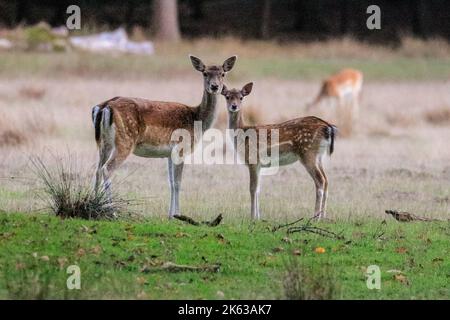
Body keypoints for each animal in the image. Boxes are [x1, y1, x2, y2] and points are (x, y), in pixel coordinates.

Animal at [92, 55, 237, 218]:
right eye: (205, 73)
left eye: (223, 74)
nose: (214, 86)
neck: (197, 119)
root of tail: (105, 107)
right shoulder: (181, 147)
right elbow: (178, 182)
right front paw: (178, 214)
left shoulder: (169, 153)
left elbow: (171, 182)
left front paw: (170, 215)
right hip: (125, 140)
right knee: (107, 169)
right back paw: (112, 211)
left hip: (104, 143)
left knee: (97, 169)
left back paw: (94, 204)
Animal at [223, 82, 336, 220]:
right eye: (227, 96)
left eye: (241, 97)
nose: (234, 106)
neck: (243, 135)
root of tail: (327, 127)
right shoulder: (259, 165)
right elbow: (258, 189)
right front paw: (258, 217)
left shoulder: (253, 160)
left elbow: (252, 188)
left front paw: (252, 217)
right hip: (319, 156)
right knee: (326, 180)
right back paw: (323, 217)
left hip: (308, 152)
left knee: (320, 181)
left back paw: (315, 218)